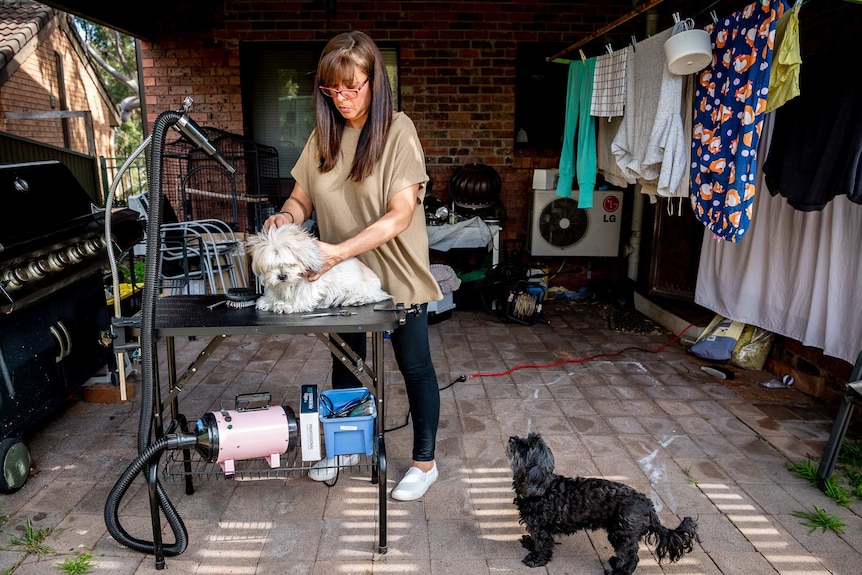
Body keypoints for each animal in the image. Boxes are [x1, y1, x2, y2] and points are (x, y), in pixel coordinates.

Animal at [245, 225, 390, 316]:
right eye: (271, 267)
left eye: (291, 264)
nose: (282, 276)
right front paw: (267, 301)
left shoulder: (309, 286)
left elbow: (301, 298)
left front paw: (285, 306)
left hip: (361, 288)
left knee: (371, 296)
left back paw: (354, 300)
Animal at [510, 434, 700, 572]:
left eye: (526, 447)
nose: (512, 438)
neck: (544, 488)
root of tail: (648, 505)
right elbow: (535, 540)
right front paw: (530, 544)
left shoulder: (542, 529)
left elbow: (542, 545)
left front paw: (536, 560)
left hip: (621, 534)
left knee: (632, 557)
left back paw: (618, 572)